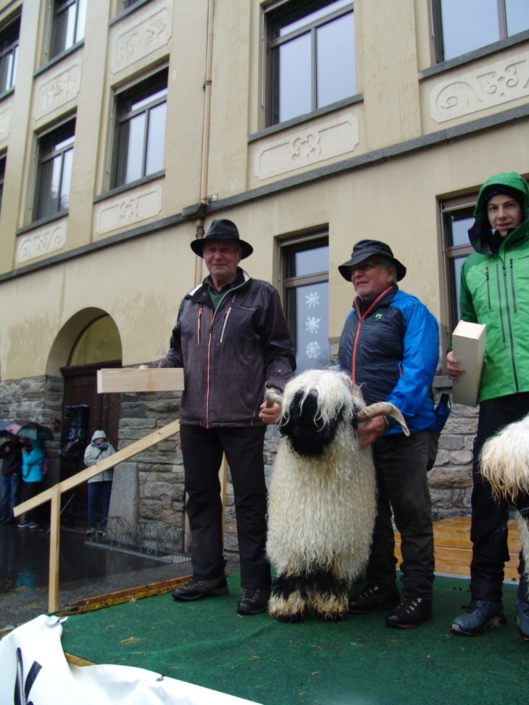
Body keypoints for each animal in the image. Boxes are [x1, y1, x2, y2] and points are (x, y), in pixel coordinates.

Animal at [265, 369, 409, 622]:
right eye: (294, 402)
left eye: (340, 411)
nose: (301, 426)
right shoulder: (292, 535)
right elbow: (292, 574)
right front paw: (287, 607)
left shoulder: (341, 544)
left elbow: (333, 578)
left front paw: (330, 606)